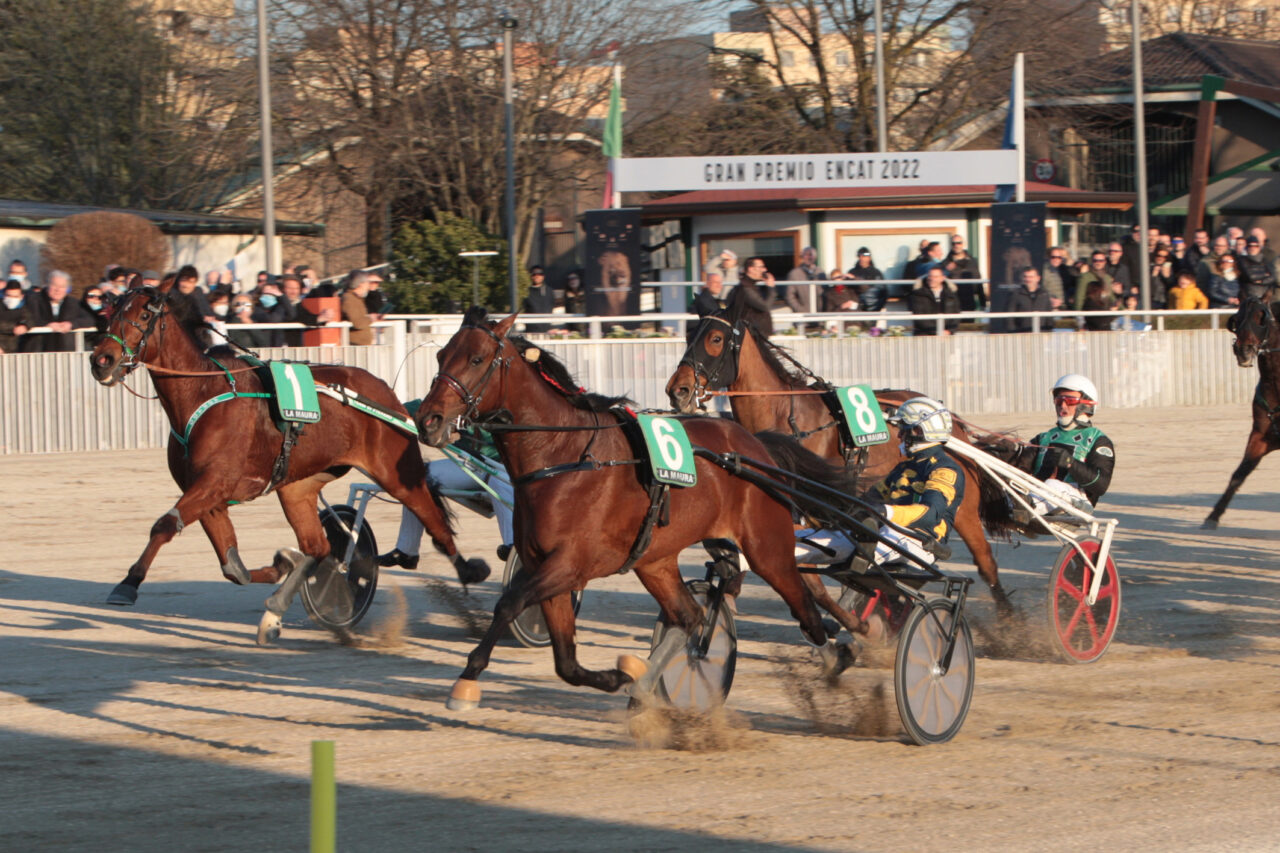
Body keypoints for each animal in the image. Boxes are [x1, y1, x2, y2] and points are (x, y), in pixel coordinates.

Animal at [85, 275, 483, 640]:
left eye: (145, 312)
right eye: (112, 310)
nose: (101, 360)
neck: (203, 393)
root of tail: (387, 392)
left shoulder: (213, 483)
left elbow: (164, 526)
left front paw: (127, 584)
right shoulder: (208, 495)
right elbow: (233, 569)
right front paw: (281, 566)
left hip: (398, 473)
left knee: (434, 520)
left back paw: (471, 583)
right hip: (297, 487)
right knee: (320, 546)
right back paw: (279, 605)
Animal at [409, 308, 849, 706]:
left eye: (477, 359)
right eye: (440, 355)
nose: (428, 420)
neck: (564, 455)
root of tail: (756, 446)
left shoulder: (569, 564)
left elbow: (509, 604)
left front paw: (466, 682)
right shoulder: (543, 567)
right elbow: (566, 663)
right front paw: (620, 676)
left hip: (767, 548)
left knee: (805, 608)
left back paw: (839, 657)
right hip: (655, 560)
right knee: (690, 617)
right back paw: (645, 685)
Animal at [670, 289, 1018, 614]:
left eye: (716, 338)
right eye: (689, 336)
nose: (677, 390)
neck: (788, 415)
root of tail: (955, 424)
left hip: (964, 511)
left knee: (985, 561)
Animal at [1198, 294, 1280, 525]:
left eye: (1261, 317)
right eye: (1237, 318)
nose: (1244, 350)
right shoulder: (1260, 436)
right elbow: (1238, 474)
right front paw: (1213, 516)